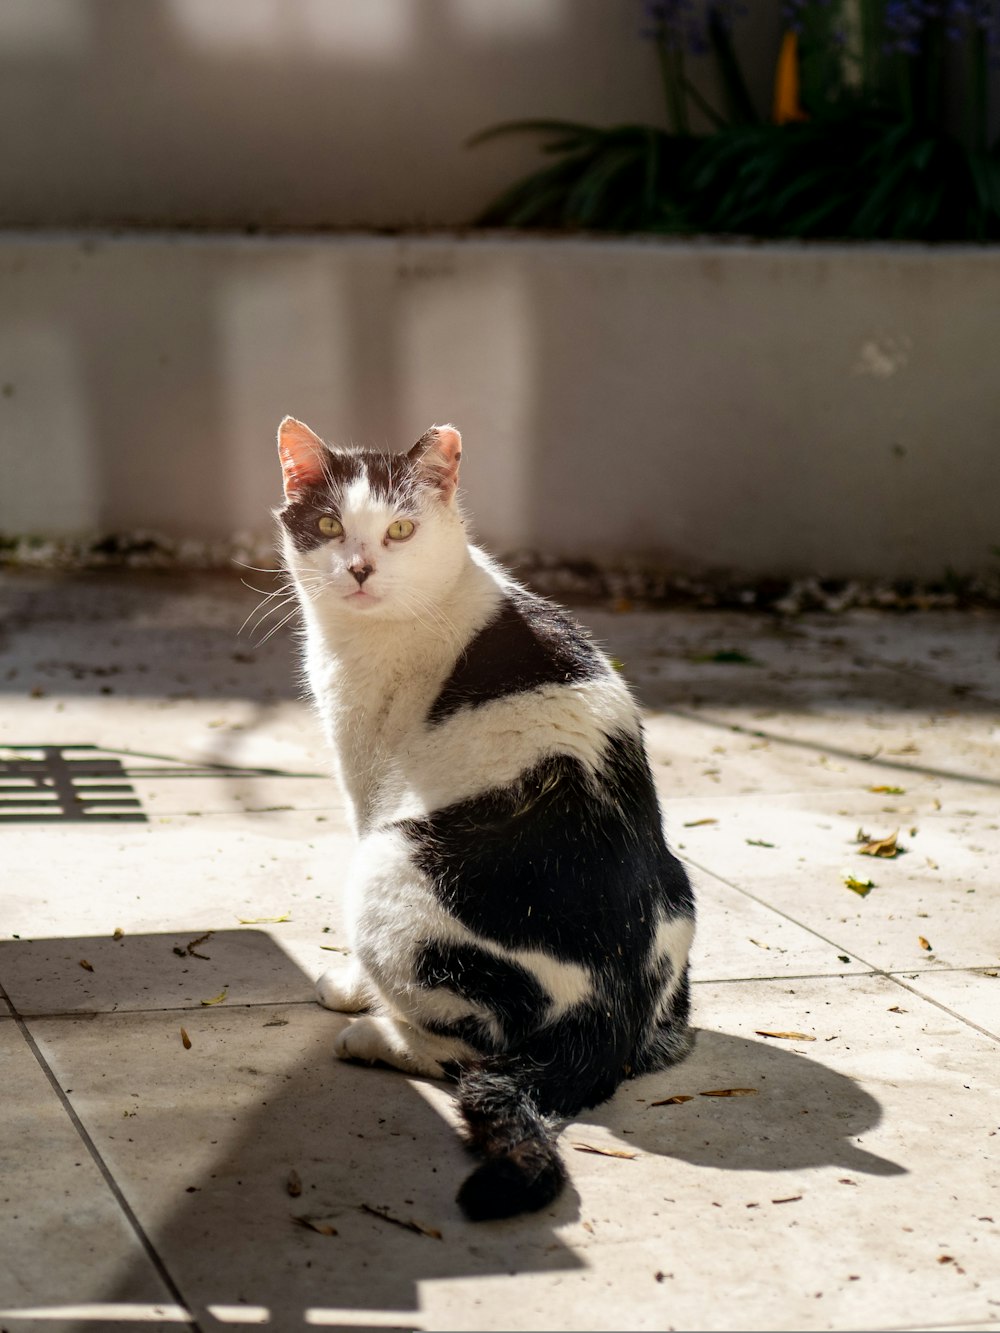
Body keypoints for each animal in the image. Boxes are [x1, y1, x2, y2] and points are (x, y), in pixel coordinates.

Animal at [276, 415, 698, 1221]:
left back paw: (377, 1032)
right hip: (681, 897)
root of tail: (611, 1014)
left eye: (401, 529)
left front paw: (349, 986)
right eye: (330, 525)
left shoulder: (368, 786)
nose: (360, 570)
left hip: (390, 866)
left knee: (479, 1049)